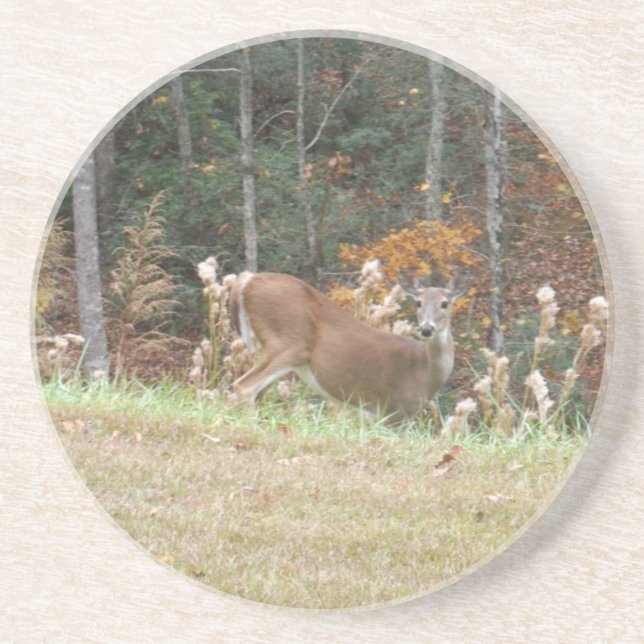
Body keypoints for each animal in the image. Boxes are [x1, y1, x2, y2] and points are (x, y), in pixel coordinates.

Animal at [228, 271, 458, 424]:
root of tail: (248, 280)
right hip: (289, 342)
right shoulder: (396, 410)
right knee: (243, 387)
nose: (426, 328)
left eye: (444, 303)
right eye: (418, 302)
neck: (423, 369)